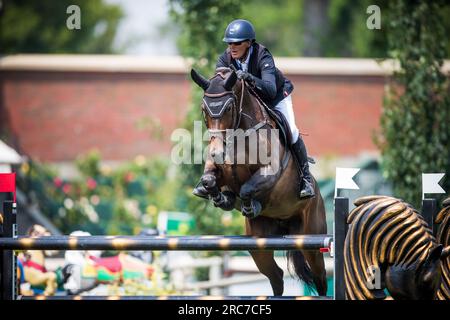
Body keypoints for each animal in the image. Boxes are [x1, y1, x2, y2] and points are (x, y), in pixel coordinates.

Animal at [190, 67, 326, 296]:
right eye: (204, 109)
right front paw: (222, 198)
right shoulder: (217, 172)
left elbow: (247, 188)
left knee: (320, 277)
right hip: (259, 245)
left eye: (228, 107)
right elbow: (209, 181)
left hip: (312, 240)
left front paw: (249, 205)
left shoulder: (270, 172)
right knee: (276, 276)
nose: (217, 152)